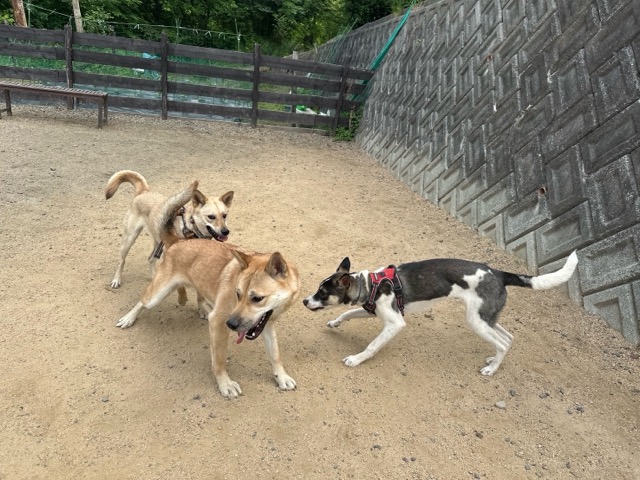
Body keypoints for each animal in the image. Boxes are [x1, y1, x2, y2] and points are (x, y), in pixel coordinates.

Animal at [105, 170, 234, 289]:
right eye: (211, 217)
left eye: (224, 215)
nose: (225, 231)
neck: (190, 226)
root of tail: (143, 192)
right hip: (129, 238)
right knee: (121, 261)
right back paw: (116, 280)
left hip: (158, 242)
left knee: (150, 259)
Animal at [116, 182, 300, 398]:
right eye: (238, 294)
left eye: (257, 298)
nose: (232, 323)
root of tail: (178, 240)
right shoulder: (218, 323)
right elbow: (219, 361)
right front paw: (225, 384)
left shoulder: (267, 324)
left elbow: (275, 355)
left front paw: (281, 377)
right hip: (156, 293)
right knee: (142, 300)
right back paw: (128, 317)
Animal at [303, 252, 578, 375]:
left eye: (322, 292)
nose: (305, 301)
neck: (370, 284)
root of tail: (499, 273)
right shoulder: (373, 311)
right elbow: (348, 315)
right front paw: (335, 322)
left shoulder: (394, 323)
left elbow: (372, 346)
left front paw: (356, 359)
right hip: (486, 317)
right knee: (508, 338)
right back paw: (494, 360)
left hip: (476, 321)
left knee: (502, 342)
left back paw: (491, 369)